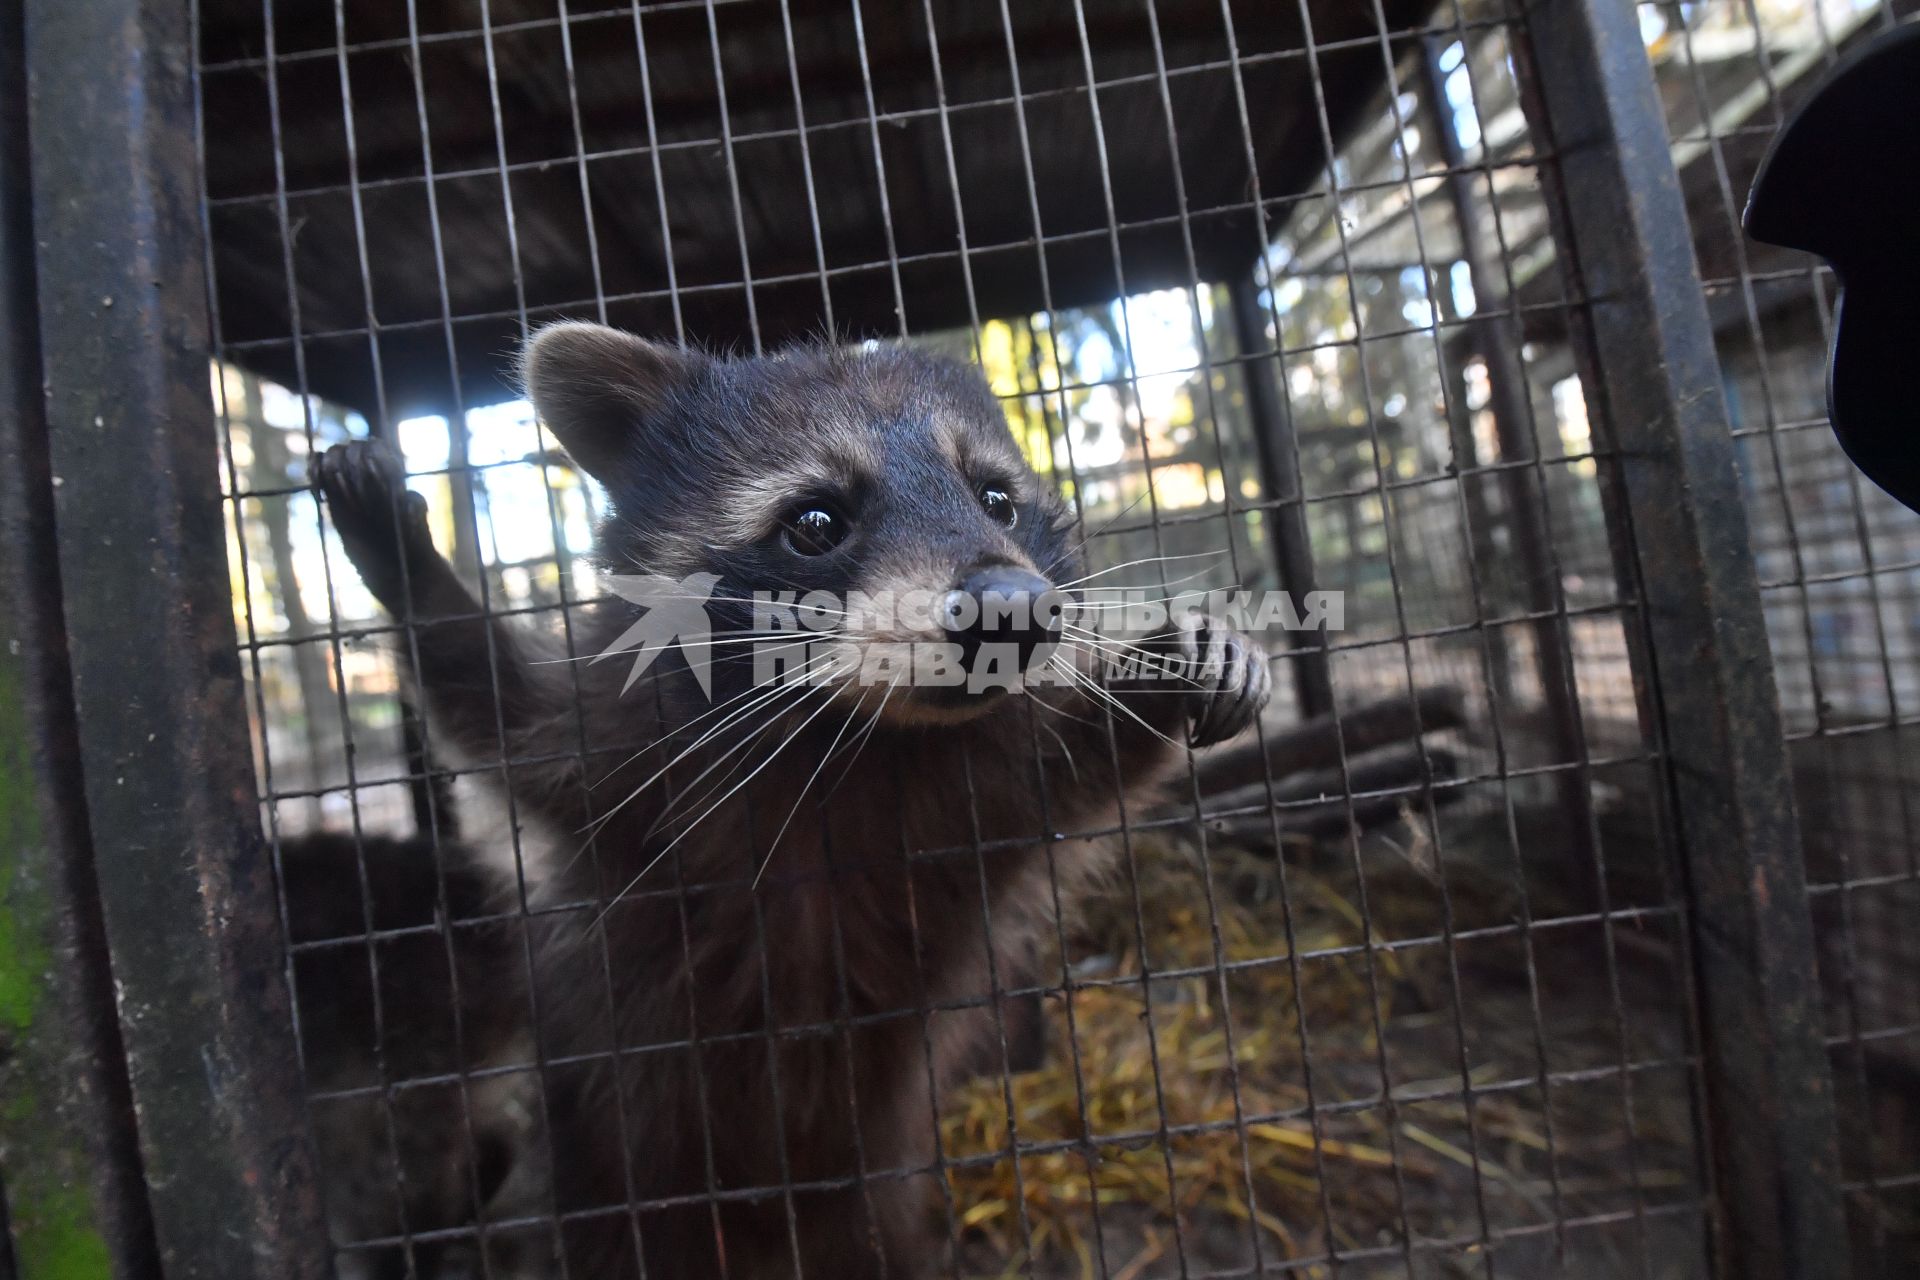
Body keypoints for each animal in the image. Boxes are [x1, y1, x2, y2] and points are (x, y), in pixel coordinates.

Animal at [311, 322, 1274, 1280]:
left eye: (997, 499)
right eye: (816, 521)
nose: (1016, 608)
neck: (853, 734)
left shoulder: (986, 792)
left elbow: (1086, 769)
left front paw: (1174, 668)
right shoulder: (616, 765)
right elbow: (491, 707)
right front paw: (407, 566)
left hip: (880, 1205)